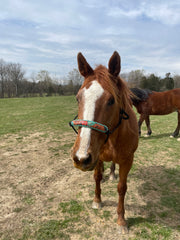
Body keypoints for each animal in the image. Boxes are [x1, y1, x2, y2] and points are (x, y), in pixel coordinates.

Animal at [69, 51, 139, 233]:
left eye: (111, 100)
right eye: (78, 98)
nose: (80, 157)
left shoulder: (127, 160)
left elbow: (122, 188)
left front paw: (121, 220)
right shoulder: (97, 156)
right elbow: (97, 177)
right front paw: (97, 200)